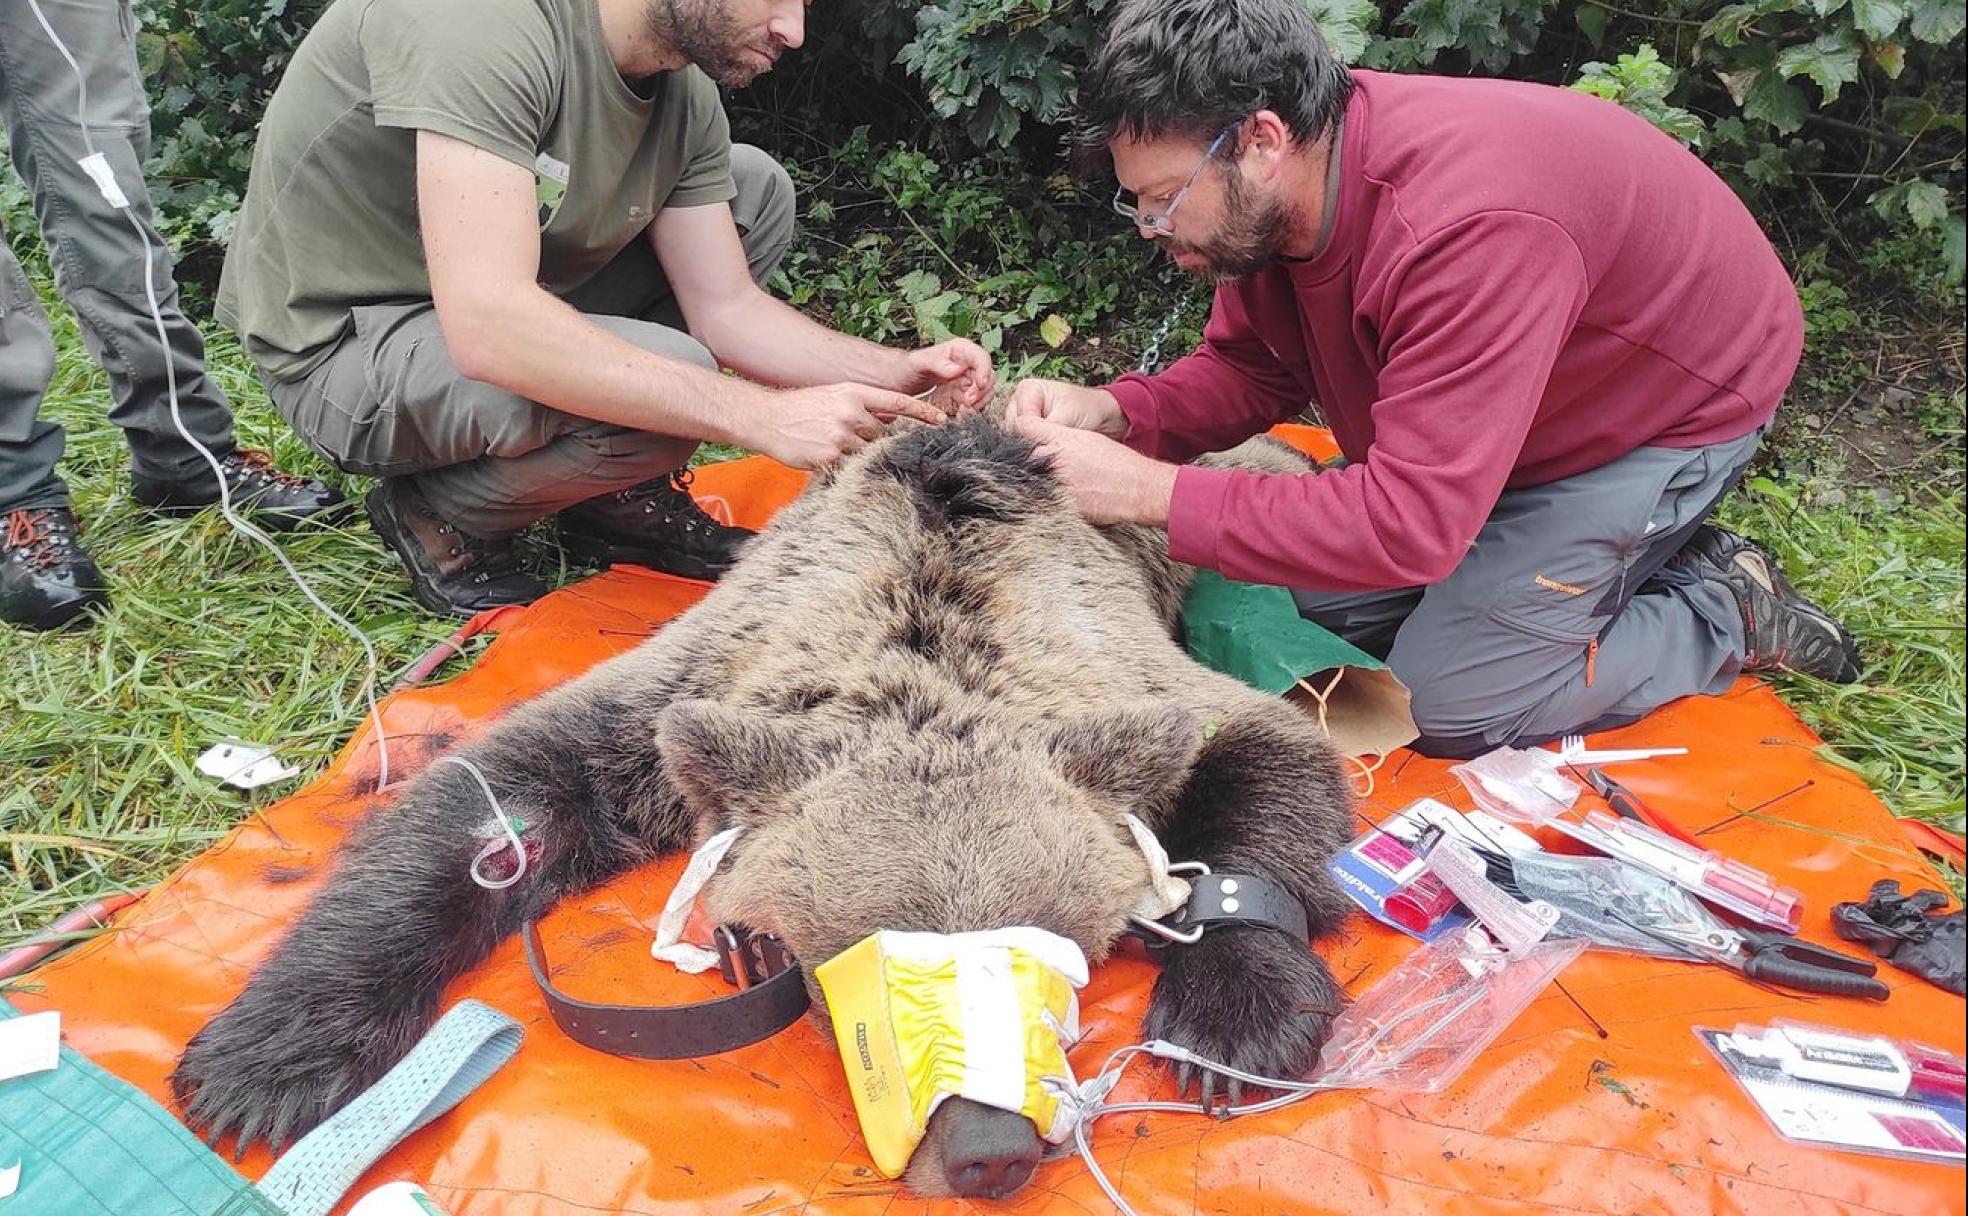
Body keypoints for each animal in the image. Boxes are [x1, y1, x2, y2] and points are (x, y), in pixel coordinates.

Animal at [177, 411, 1361, 1196]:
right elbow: (495, 799)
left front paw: (1229, 1020)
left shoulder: (1109, 660)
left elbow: (1265, 748)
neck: (923, 645)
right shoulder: (699, 677)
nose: (985, 1153)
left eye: (1061, 963)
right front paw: (266, 1063)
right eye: (865, 970)